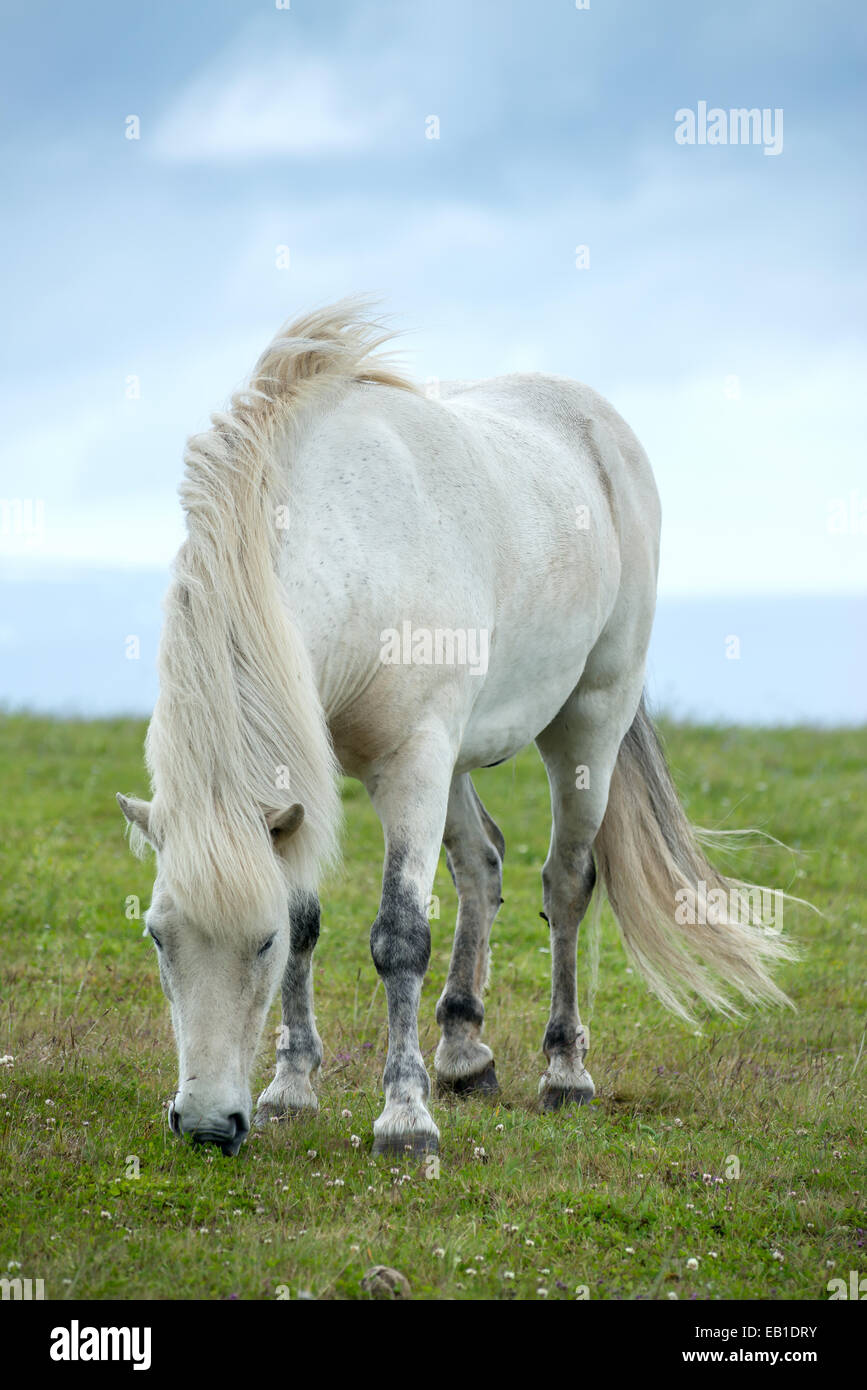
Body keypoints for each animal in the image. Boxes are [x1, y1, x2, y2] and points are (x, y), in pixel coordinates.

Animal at [118, 304, 794, 1162]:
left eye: (257, 944)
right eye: (156, 936)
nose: (206, 1126)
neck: (353, 544)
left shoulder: (412, 762)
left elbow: (398, 936)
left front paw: (403, 1120)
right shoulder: (318, 777)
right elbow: (315, 918)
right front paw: (291, 1088)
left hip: (586, 726)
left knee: (565, 882)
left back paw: (563, 1071)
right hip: (462, 759)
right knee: (482, 863)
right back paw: (465, 1051)